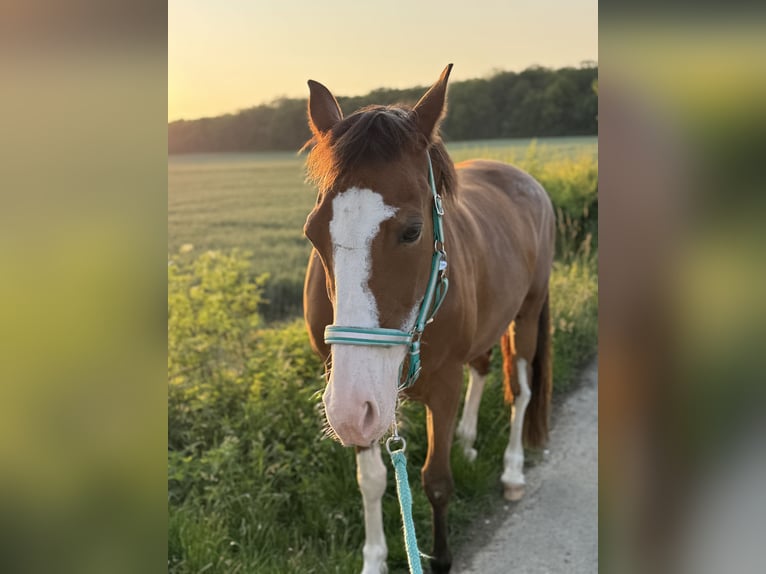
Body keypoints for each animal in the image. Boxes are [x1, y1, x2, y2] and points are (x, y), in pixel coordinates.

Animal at [302, 64, 555, 573]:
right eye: (313, 232)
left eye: (412, 231)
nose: (346, 408)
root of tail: (522, 178)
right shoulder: (365, 402)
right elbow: (372, 482)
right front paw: (374, 559)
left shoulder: (440, 386)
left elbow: (436, 481)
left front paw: (440, 557)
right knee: (483, 369)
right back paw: (469, 438)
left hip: (528, 315)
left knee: (520, 391)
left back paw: (513, 470)